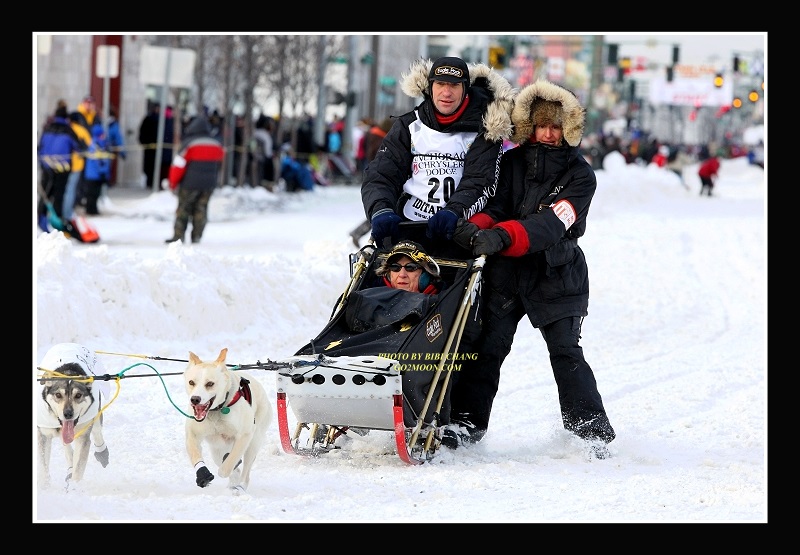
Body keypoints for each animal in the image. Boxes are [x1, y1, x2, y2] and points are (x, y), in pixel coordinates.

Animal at [37, 344, 111, 490]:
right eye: (58, 395)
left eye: (78, 395)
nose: (68, 414)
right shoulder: (43, 434)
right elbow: (43, 466)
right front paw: (44, 487)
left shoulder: (82, 436)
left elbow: (78, 468)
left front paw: (74, 488)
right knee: (66, 444)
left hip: (95, 417)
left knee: (97, 431)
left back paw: (101, 453)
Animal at [184, 350, 272, 494]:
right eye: (191, 382)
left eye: (210, 383)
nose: (195, 399)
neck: (217, 410)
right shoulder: (193, 434)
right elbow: (195, 455)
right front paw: (203, 475)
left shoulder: (244, 435)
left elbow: (228, 464)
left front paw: (226, 470)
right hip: (216, 449)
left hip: (253, 443)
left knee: (244, 471)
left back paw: (239, 486)